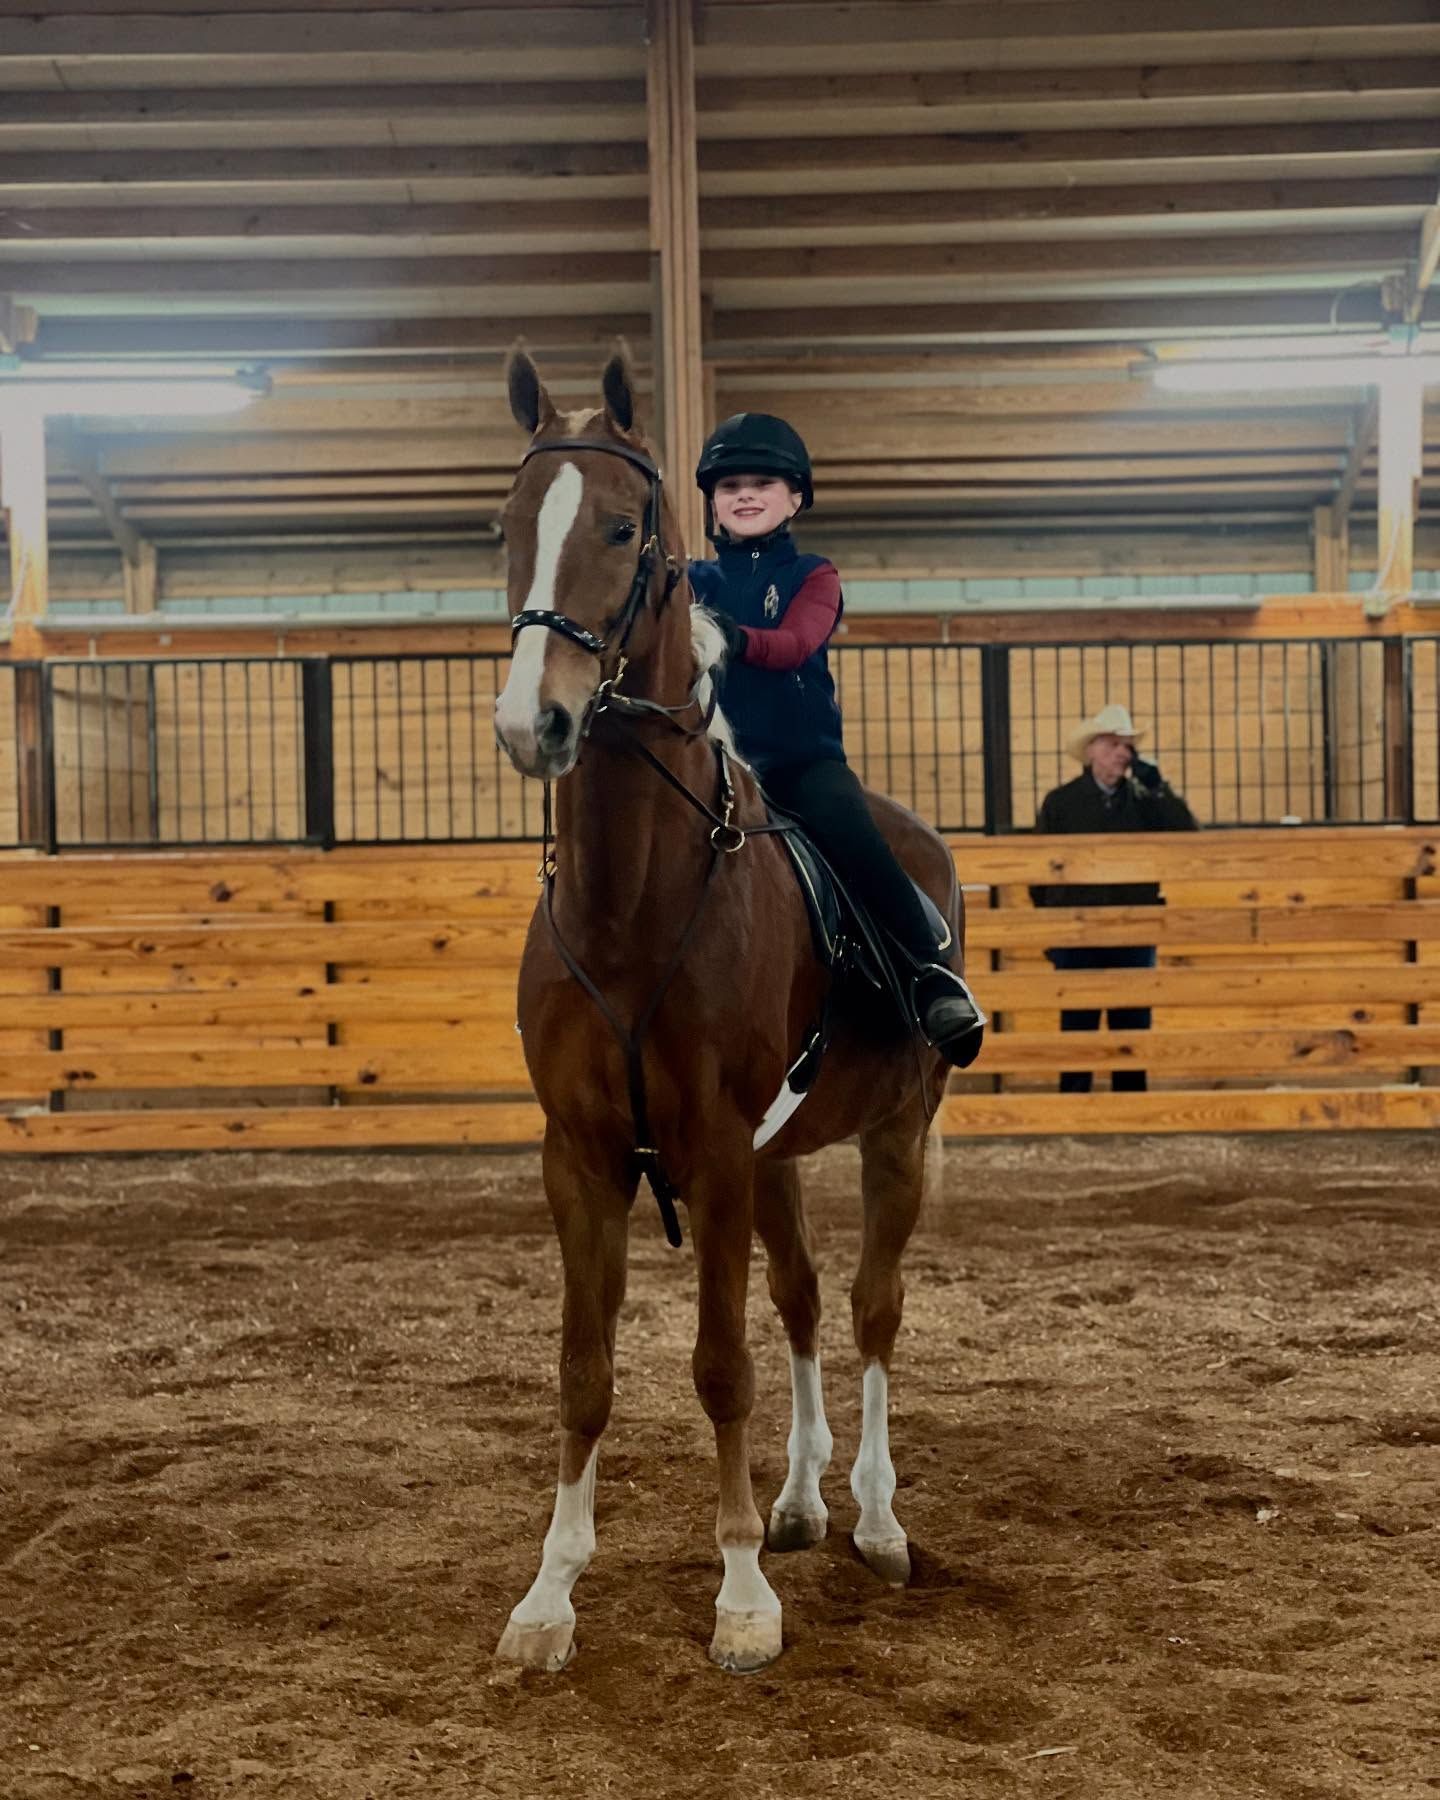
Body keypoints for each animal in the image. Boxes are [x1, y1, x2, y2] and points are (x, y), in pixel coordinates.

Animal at [490, 342, 968, 1674]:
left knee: (869, 1310)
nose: (534, 722)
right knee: (804, 1303)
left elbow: (718, 1365)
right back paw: (803, 1502)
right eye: (506, 528)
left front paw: (744, 1593)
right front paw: (550, 1595)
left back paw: (874, 1519)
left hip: (895, 1134)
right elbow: (585, 1370)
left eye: (621, 525)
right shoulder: (584, 1157)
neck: (631, 904)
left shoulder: (707, 1155)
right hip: (780, 1159)